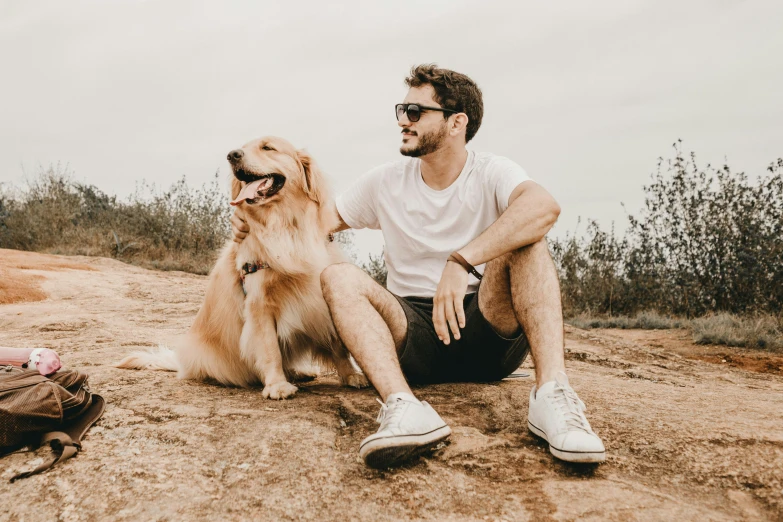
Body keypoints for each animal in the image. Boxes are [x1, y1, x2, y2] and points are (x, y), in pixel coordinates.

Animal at [118, 135, 370, 398]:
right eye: (242, 147)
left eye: (268, 147)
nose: (232, 155)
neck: (283, 224)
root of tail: (182, 362)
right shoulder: (259, 304)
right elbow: (270, 349)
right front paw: (276, 385)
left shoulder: (318, 294)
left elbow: (337, 345)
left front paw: (351, 374)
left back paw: (300, 371)